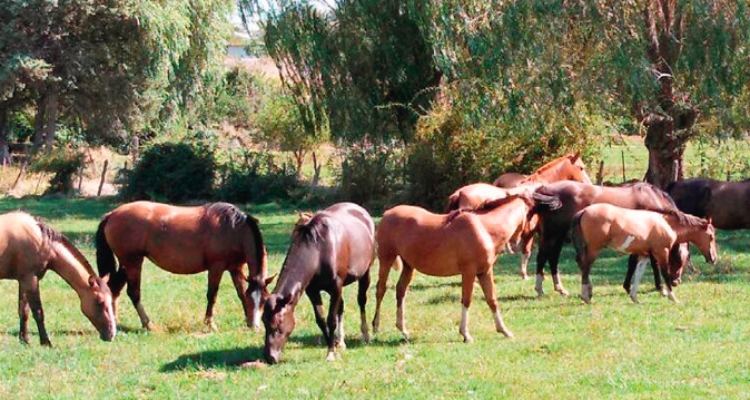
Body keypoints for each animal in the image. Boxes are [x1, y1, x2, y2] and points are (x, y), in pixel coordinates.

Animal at [0, 211, 117, 346]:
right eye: (99, 302)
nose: (111, 334)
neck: (42, 242)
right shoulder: (30, 280)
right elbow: (38, 312)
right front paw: (45, 342)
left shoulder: (24, 280)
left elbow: (23, 311)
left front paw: (25, 340)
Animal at [95, 203, 268, 332]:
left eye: (265, 300)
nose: (256, 327)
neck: (232, 229)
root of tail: (112, 214)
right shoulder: (216, 267)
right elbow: (212, 295)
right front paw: (210, 323)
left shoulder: (237, 268)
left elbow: (241, 293)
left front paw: (247, 320)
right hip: (133, 262)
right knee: (133, 293)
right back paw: (148, 324)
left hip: (126, 264)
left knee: (114, 288)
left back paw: (114, 321)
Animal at [372, 195, 536, 344]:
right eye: (531, 214)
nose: (522, 245)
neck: (484, 228)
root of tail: (387, 214)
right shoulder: (469, 273)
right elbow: (467, 300)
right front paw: (466, 335)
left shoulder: (485, 272)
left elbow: (492, 300)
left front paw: (504, 331)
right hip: (386, 259)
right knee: (381, 289)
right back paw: (375, 327)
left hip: (408, 266)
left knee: (400, 291)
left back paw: (404, 331)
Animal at [532, 181, 692, 296]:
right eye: (679, 259)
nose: (676, 281)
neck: (653, 200)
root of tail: (546, 189)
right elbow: (653, 263)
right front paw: (661, 288)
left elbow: (632, 262)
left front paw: (627, 287)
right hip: (553, 235)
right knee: (544, 258)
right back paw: (541, 289)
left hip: (557, 237)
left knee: (552, 259)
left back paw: (561, 288)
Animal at [572, 203, 720, 304]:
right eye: (711, 236)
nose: (713, 259)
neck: (666, 224)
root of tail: (584, 211)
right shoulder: (662, 252)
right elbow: (664, 274)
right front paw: (672, 297)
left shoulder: (644, 255)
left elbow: (638, 274)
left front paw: (634, 297)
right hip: (594, 249)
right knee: (585, 268)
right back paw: (586, 296)